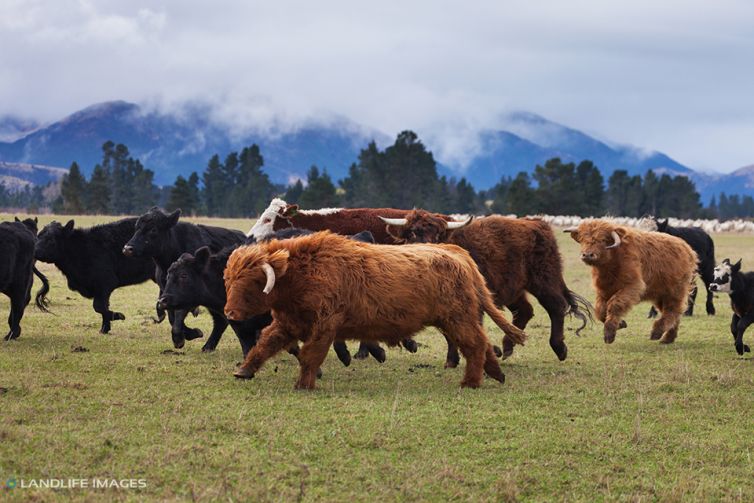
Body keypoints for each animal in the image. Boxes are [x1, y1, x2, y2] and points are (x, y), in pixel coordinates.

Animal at [122, 208, 242, 350]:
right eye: (136, 227)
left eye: (153, 229)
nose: (127, 248)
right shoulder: (167, 292)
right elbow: (171, 316)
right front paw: (188, 334)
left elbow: (178, 315)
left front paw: (184, 336)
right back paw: (208, 346)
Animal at [222, 231, 524, 390]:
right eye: (229, 280)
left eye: (251, 283)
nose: (229, 313)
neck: (302, 272)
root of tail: (457, 254)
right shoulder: (289, 323)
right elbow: (265, 344)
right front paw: (244, 370)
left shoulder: (324, 325)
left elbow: (310, 355)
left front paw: (303, 385)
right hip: (460, 319)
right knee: (482, 342)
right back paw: (495, 374)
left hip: (457, 318)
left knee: (474, 345)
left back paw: (471, 382)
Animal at [384, 211, 592, 364]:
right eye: (412, 233)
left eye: (438, 235)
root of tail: (536, 223)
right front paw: (452, 359)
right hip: (513, 289)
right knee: (525, 311)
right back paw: (507, 347)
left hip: (544, 280)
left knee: (555, 307)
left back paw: (559, 348)